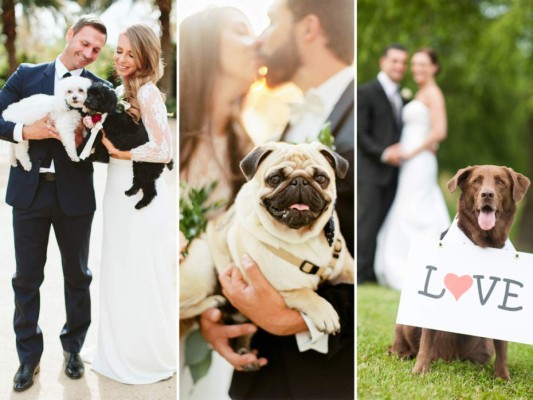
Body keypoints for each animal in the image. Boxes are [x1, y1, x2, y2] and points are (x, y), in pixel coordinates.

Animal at [80, 83, 174, 211]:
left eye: (99, 95)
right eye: (89, 93)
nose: (87, 101)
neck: (107, 112)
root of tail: (167, 160)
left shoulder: (100, 133)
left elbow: (87, 143)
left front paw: (79, 153)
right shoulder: (102, 139)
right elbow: (98, 149)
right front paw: (91, 157)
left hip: (146, 170)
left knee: (151, 191)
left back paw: (140, 204)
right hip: (139, 166)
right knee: (138, 181)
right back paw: (130, 191)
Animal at [181, 141, 356, 338]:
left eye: (320, 178)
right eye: (275, 178)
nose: (300, 181)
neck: (301, 237)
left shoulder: (347, 268)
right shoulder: (279, 291)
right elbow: (306, 294)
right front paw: (325, 312)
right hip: (202, 266)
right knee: (182, 309)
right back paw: (213, 301)